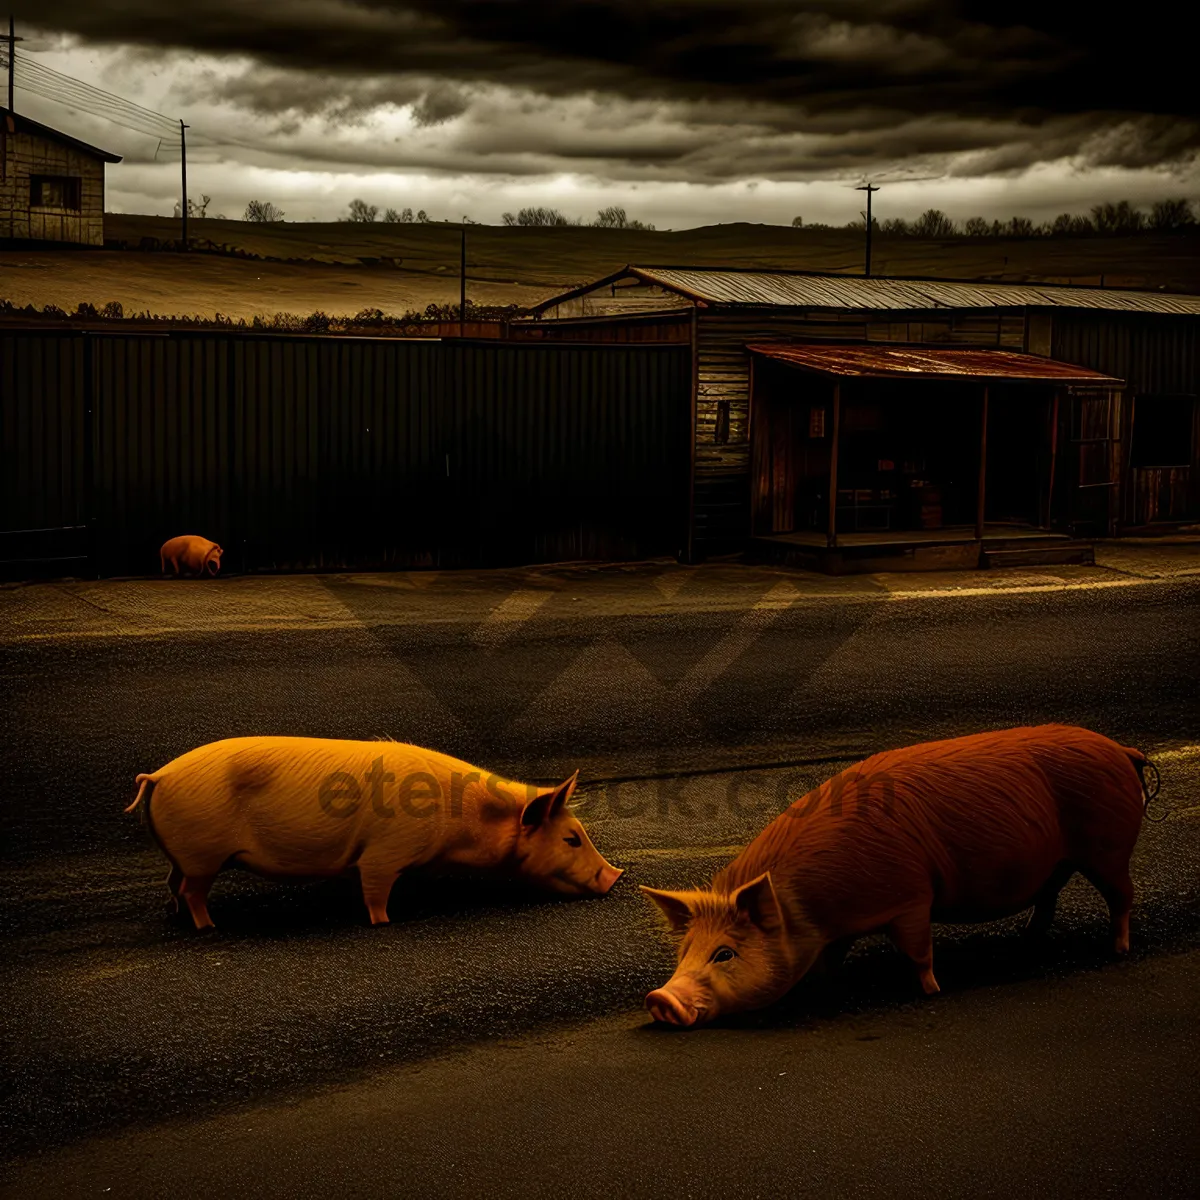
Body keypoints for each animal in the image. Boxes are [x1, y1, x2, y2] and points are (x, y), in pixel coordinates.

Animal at [126, 734, 624, 931]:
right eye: (571, 837)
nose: (616, 876)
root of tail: (159, 777)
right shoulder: (383, 853)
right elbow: (374, 893)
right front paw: (386, 922)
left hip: (185, 856)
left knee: (173, 883)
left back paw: (178, 916)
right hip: (202, 854)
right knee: (191, 890)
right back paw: (209, 927)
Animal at [643, 724, 1147, 1027]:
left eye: (724, 954)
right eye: (685, 951)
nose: (659, 999)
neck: (808, 908)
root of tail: (1122, 749)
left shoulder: (911, 897)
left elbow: (919, 951)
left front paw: (932, 991)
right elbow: (828, 961)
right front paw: (824, 985)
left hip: (1108, 849)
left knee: (1123, 897)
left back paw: (1118, 950)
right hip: (1063, 860)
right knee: (1050, 894)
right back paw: (1030, 937)